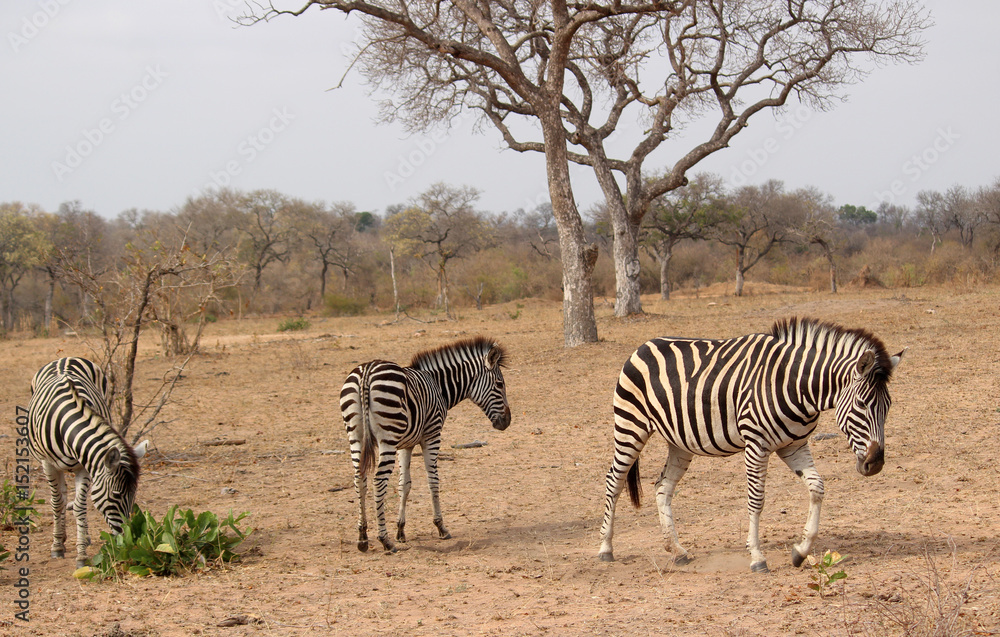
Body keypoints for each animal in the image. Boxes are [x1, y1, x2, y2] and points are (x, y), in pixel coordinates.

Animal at [28, 357, 148, 568]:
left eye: (134, 494)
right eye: (116, 495)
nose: (128, 538)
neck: (65, 424)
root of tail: (65, 358)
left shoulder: (84, 466)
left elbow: (79, 507)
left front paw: (81, 555)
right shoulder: (47, 464)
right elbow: (57, 503)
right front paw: (57, 547)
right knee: (61, 497)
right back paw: (61, 538)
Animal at [340, 336, 511, 553]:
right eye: (499, 384)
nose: (507, 422)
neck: (439, 386)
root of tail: (367, 372)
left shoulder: (405, 445)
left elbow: (404, 484)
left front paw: (401, 530)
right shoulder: (432, 435)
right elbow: (433, 481)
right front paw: (440, 527)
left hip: (355, 436)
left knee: (359, 479)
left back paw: (362, 537)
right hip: (387, 438)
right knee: (378, 481)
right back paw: (384, 540)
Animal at [598, 318, 903, 572]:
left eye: (888, 407)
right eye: (861, 404)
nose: (876, 463)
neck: (795, 386)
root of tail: (644, 345)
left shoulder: (794, 445)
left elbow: (817, 487)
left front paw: (801, 551)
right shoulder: (756, 444)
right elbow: (756, 499)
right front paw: (757, 557)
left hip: (680, 441)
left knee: (663, 486)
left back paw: (677, 550)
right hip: (630, 426)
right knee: (614, 480)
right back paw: (605, 548)